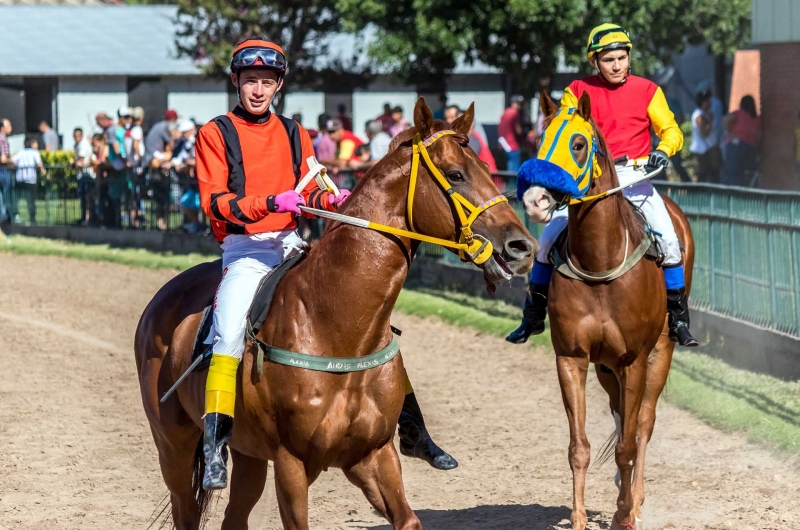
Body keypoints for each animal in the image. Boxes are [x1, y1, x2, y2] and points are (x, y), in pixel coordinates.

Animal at [136, 97, 536, 524]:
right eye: (456, 174)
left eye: (487, 171)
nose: (522, 247)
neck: (333, 324)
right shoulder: (292, 464)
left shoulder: (372, 455)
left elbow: (407, 517)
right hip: (174, 447)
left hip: (248, 454)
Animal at [536, 93, 696, 524]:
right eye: (541, 138)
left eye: (577, 143)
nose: (537, 197)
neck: (600, 262)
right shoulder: (571, 358)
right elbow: (579, 447)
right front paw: (578, 519)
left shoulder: (633, 360)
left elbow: (630, 441)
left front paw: (625, 512)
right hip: (606, 368)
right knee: (621, 415)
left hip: (660, 353)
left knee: (643, 424)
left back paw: (634, 499)